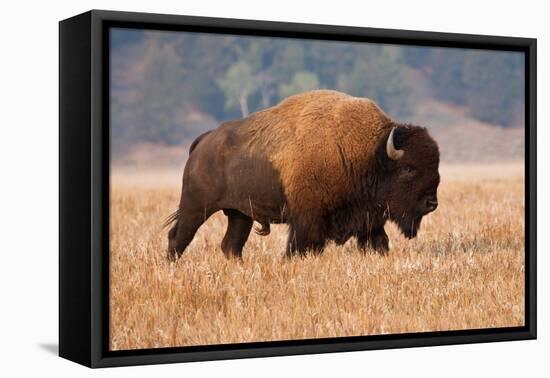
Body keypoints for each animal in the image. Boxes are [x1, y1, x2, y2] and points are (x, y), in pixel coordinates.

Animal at [166, 89, 442, 260]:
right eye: (409, 169)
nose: (431, 203)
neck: (369, 153)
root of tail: (203, 141)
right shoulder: (307, 220)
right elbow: (298, 247)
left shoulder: (369, 221)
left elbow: (379, 243)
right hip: (196, 207)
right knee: (178, 237)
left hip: (239, 214)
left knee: (231, 246)